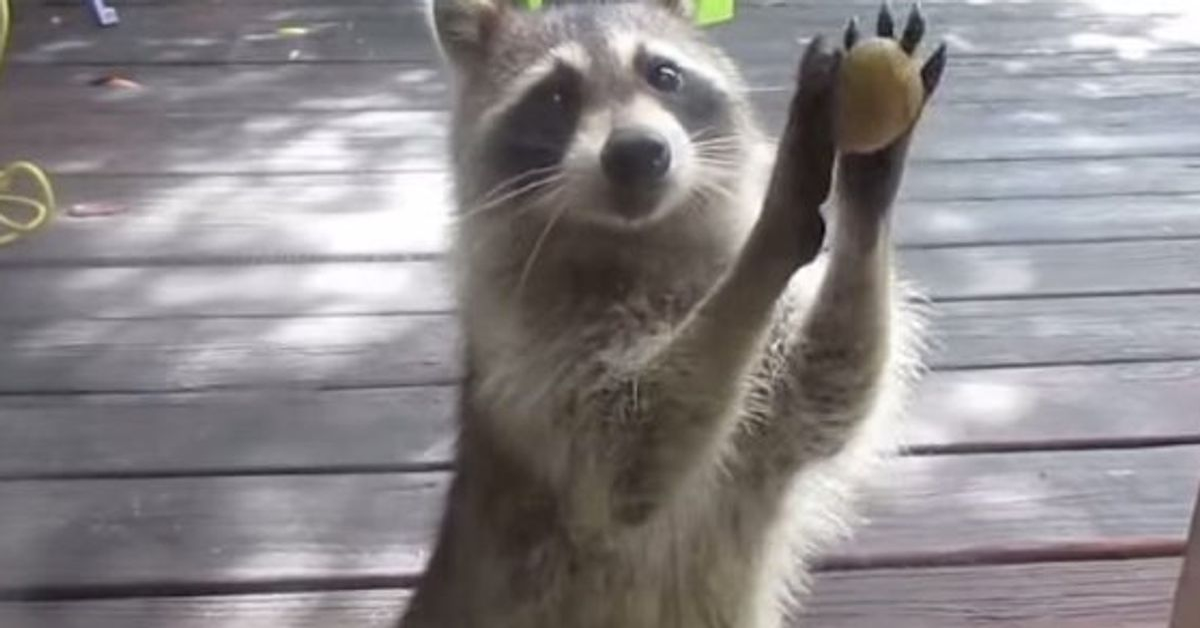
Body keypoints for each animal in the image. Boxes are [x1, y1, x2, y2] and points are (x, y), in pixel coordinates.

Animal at [403, 1, 945, 628]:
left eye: (663, 75)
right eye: (556, 96)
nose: (638, 151)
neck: (640, 245)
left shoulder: (768, 422)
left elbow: (828, 388)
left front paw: (868, 177)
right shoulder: (524, 358)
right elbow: (627, 451)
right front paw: (774, 222)